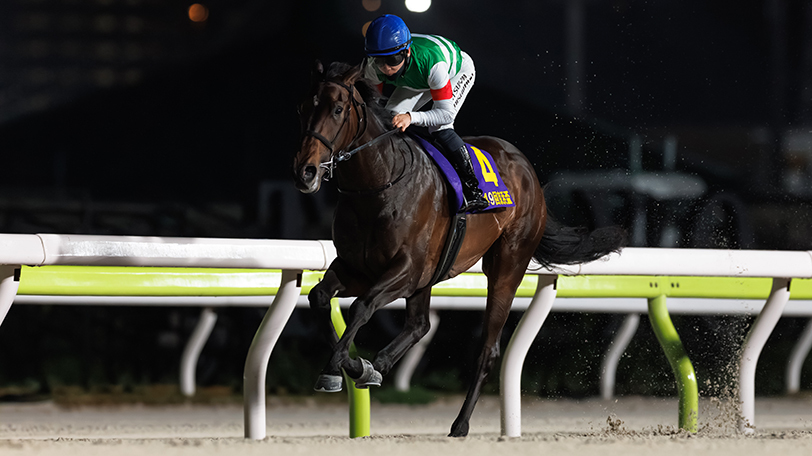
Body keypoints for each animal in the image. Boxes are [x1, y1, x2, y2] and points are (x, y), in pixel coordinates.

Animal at [293, 61, 626, 437]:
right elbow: (320, 297)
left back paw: (461, 422)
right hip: (431, 277)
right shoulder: (358, 268)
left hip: (506, 266)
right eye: (302, 108)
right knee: (420, 325)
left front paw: (339, 367)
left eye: (337, 109)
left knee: (486, 350)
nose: (305, 172)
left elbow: (362, 307)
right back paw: (380, 363)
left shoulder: (406, 270)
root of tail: (529, 173)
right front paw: (353, 366)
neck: (379, 185)